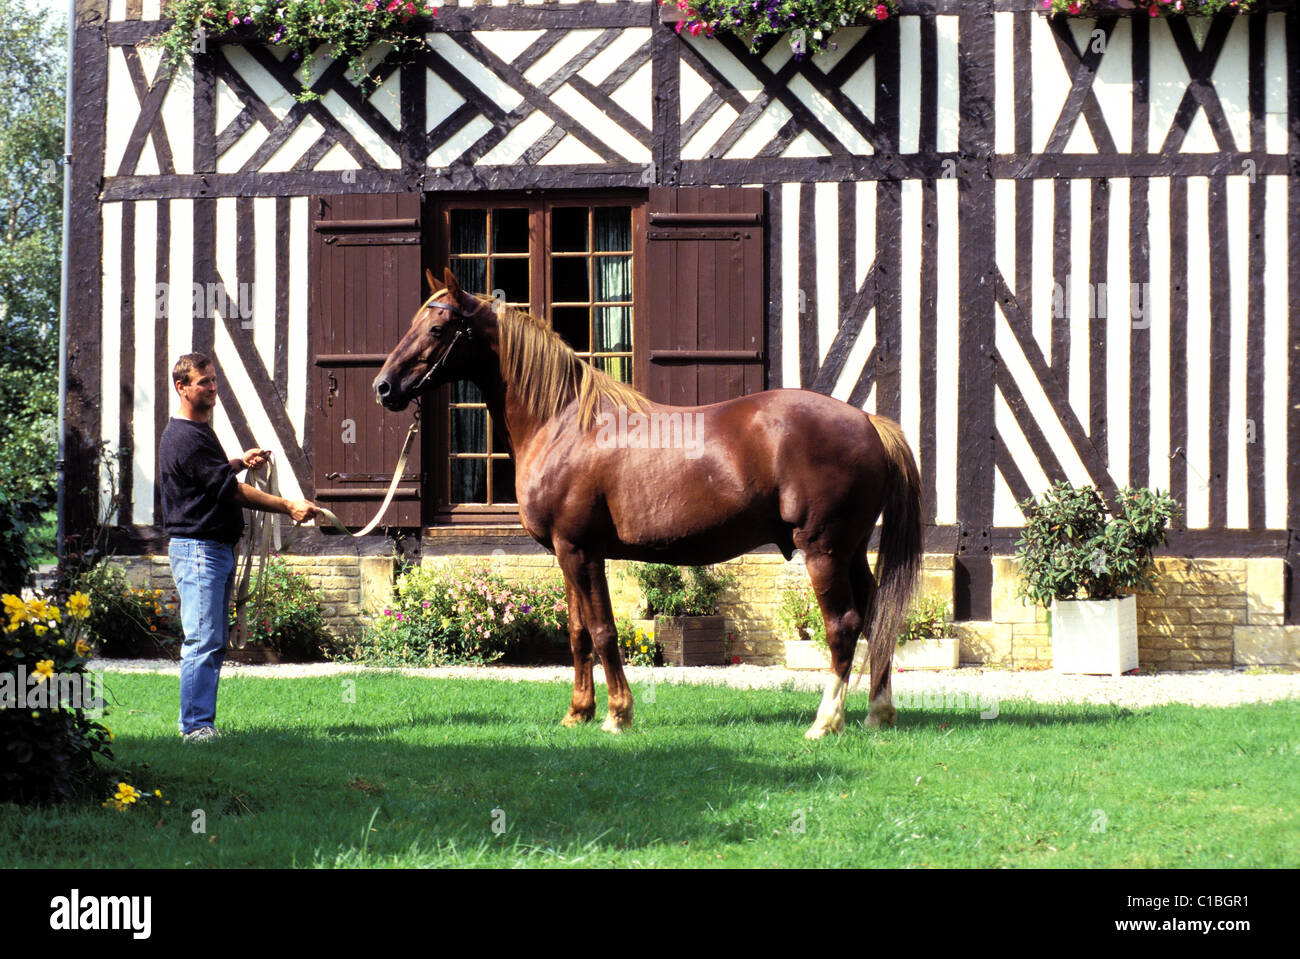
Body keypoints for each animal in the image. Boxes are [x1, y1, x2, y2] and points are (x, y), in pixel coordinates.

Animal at [374, 268, 925, 738]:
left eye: (438, 327)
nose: (384, 387)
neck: (563, 423)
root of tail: (868, 421)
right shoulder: (565, 553)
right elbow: (577, 632)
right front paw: (578, 713)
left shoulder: (581, 551)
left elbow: (602, 630)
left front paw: (617, 714)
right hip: (850, 551)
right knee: (876, 614)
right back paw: (878, 713)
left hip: (823, 551)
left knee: (843, 625)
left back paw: (825, 721)